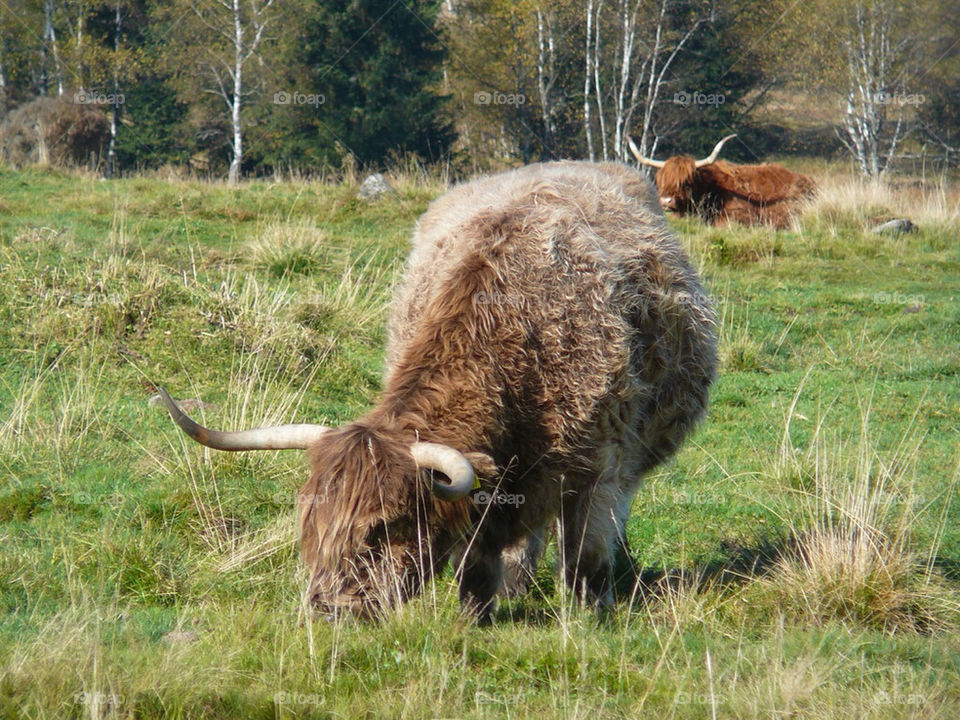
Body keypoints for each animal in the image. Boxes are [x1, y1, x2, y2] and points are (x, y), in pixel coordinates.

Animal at [158, 160, 716, 620]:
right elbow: (479, 557)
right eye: (309, 521)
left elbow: (586, 554)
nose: (329, 609)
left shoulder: (599, 466)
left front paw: (589, 615)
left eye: (385, 526)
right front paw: (478, 612)